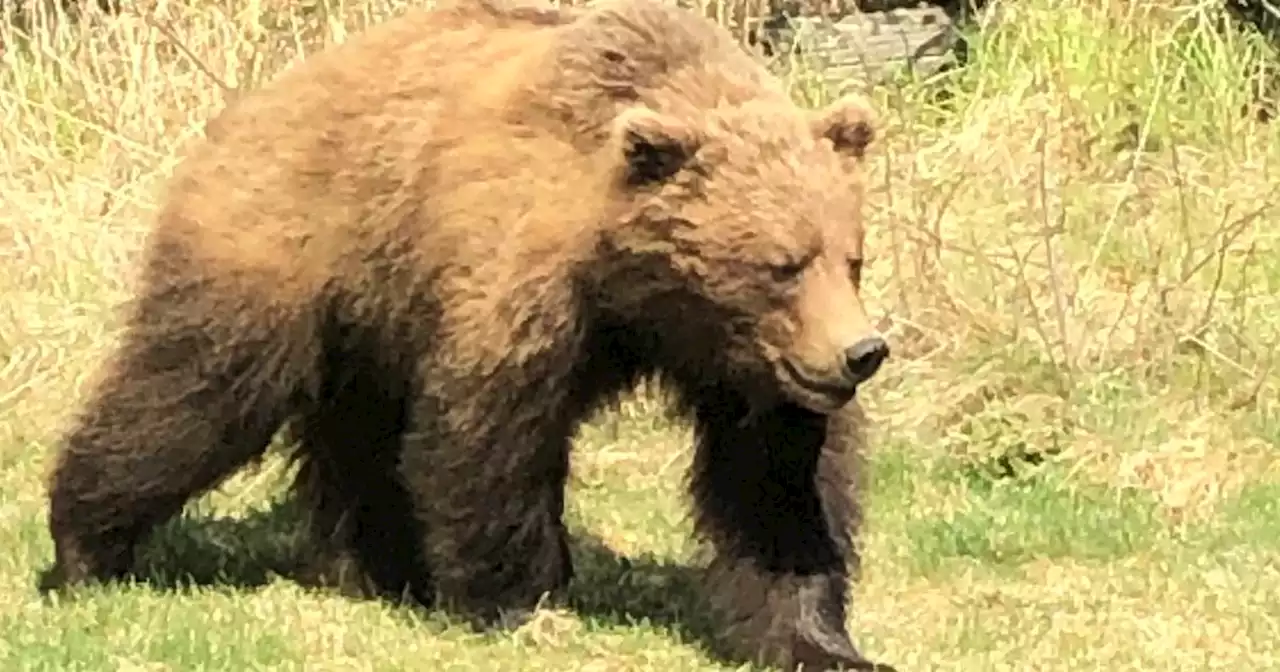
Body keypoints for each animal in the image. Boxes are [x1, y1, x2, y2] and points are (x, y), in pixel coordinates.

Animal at [42, 2, 890, 665]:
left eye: (850, 256)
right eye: (781, 264)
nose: (860, 353)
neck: (635, 290)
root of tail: (252, 103)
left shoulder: (749, 370)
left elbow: (775, 490)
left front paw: (820, 640)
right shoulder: (517, 275)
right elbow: (488, 437)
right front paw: (519, 604)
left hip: (372, 316)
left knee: (358, 441)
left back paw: (378, 567)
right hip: (285, 245)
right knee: (192, 395)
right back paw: (85, 547)